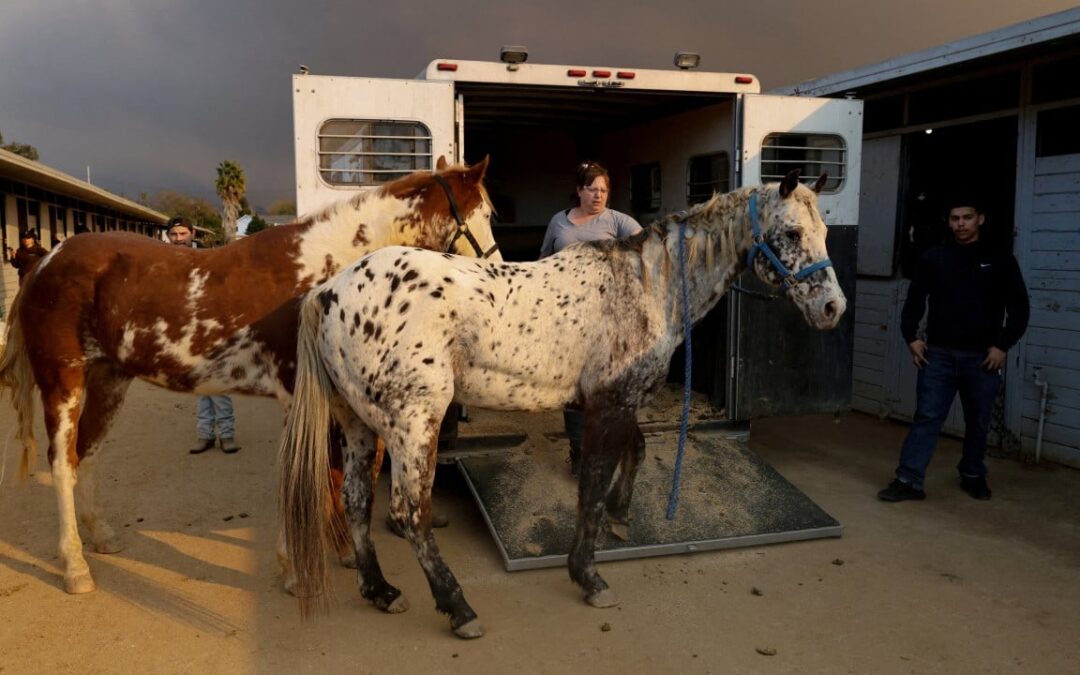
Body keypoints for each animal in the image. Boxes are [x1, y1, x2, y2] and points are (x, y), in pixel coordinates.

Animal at [0, 156, 496, 596]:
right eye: (488, 213)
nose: (497, 264)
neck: (321, 275)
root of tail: (46, 262)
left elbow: (332, 474)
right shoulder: (300, 397)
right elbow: (306, 475)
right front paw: (296, 571)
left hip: (108, 380)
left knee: (86, 454)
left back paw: (101, 535)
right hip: (63, 381)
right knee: (61, 462)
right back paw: (75, 567)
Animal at [276, 170, 842, 635]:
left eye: (825, 233)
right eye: (793, 233)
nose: (832, 308)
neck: (645, 288)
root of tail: (329, 292)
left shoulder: (616, 400)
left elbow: (634, 454)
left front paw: (620, 515)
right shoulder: (607, 405)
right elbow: (590, 485)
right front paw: (588, 577)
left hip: (357, 423)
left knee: (357, 499)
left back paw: (380, 591)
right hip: (414, 425)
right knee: (410, 512)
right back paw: (459, 609)